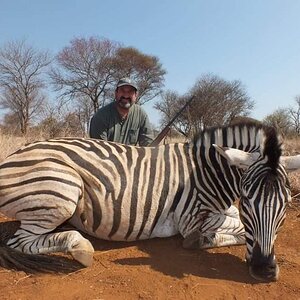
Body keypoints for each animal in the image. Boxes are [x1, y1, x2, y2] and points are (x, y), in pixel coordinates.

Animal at [0, 122, 298, 282]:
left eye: (285, 203)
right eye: (247, 199)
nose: (264, 270)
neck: (207, 171)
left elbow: (233, 218)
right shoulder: (192, 219)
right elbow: (236, 228)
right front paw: (205, 240)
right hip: (63, 189)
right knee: (19, 242)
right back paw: (81, 248)